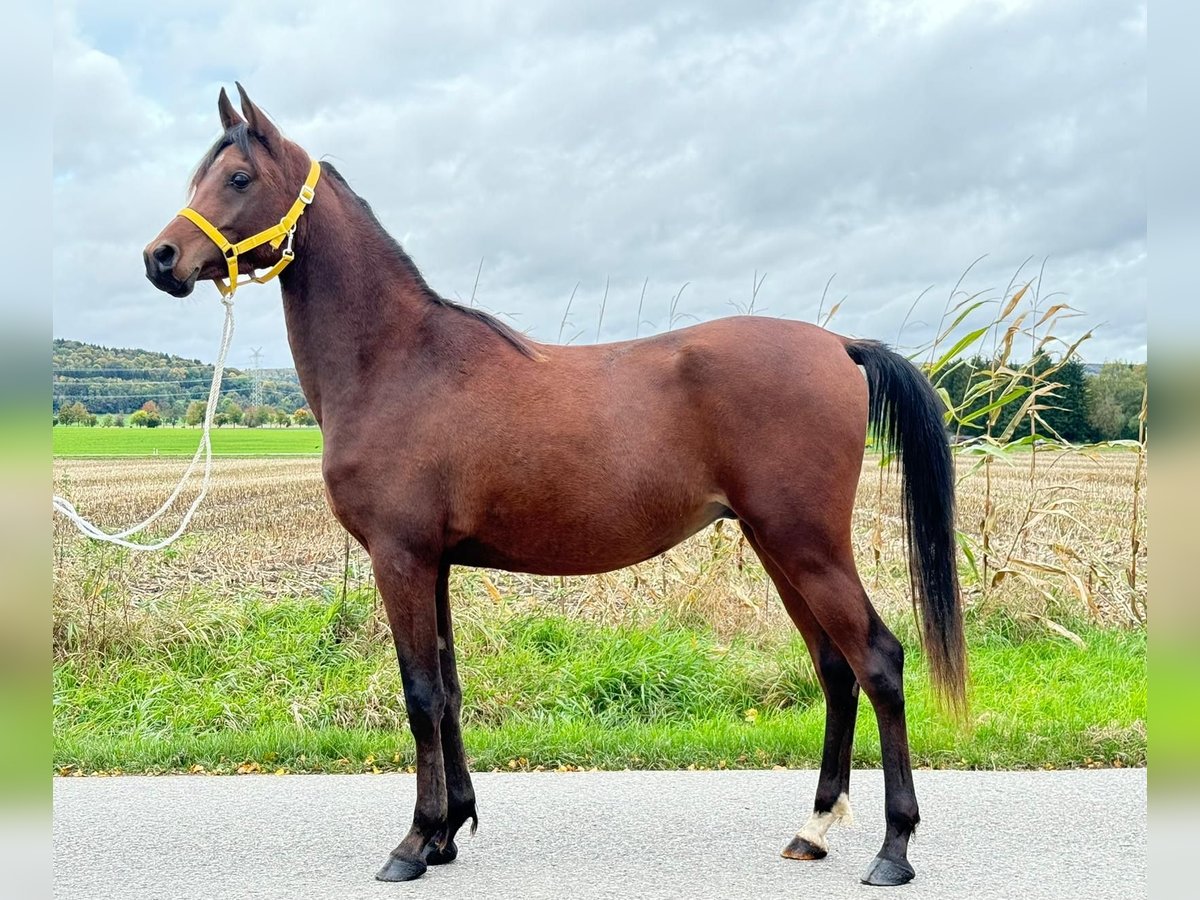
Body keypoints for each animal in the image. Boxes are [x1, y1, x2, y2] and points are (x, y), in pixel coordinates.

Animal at [142, 84, 964, 888]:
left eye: (238, 178)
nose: (160, 258)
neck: (399, 362)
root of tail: (840, 346)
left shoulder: (399, 558)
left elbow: (420, 695)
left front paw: (412, 844)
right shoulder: (434, 564)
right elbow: (449, 691)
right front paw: (447, 832)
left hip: (806, 545)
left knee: (879, 661)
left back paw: (894, 849)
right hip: (777, 545)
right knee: (835, 668)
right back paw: (813, 829)